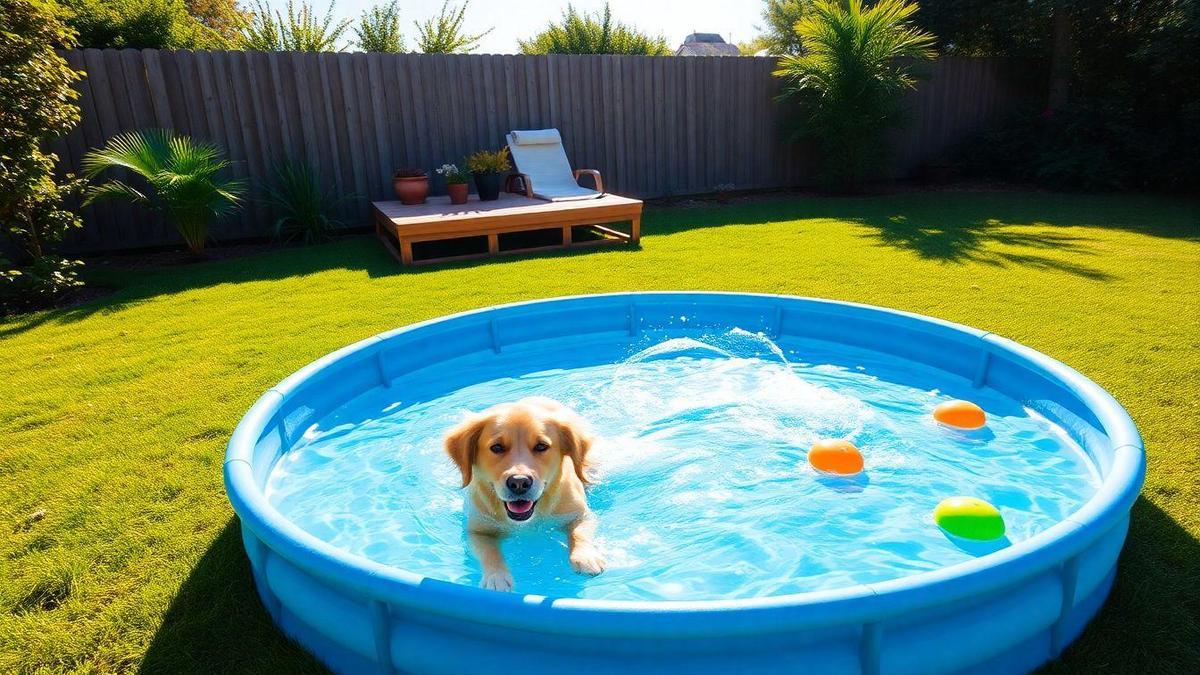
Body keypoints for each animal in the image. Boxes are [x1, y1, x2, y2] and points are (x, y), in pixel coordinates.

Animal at [444, 393, 604, 588]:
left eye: (541, 446)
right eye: (497, 447)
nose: (519, 482)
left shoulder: (580, 514)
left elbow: (579, 533)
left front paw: (586, 556)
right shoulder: (478, 531)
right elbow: (489, 552)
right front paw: (496, 576)